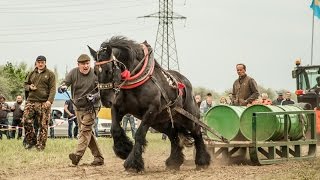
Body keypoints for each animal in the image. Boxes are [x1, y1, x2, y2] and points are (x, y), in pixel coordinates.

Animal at [89, 35, 211, 172]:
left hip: (187, 117)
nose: (105, 100)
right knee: (173, 136)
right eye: (95, 71)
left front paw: (132, 164)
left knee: (197, 133)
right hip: (161, 122)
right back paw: (174, 162)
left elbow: (139, 134)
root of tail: (186, 82)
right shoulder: (117, 107)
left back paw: (202, 161)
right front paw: (124, 150)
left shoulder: (151, 111)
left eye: (108, 70)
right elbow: (114, 129)